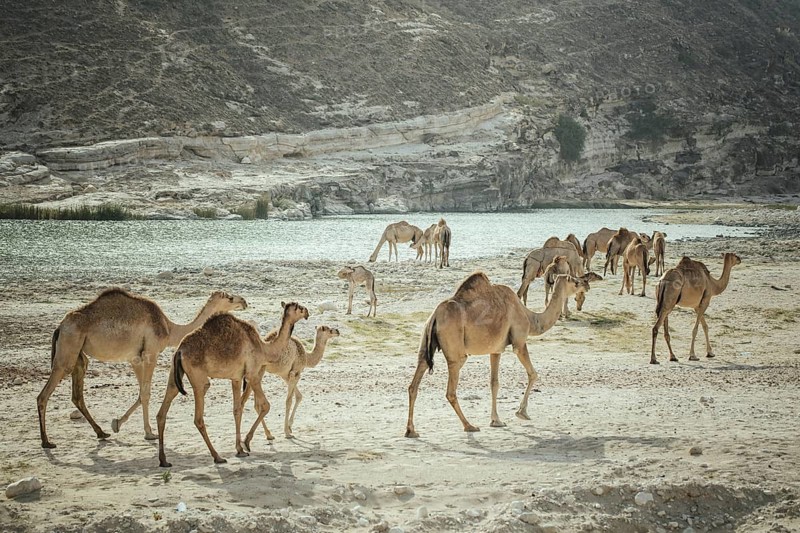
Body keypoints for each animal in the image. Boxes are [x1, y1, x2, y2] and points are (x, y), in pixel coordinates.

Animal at [36, 288, 247, 449]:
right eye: (229, 298)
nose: (244, 301)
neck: (170, 329)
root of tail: (60, 327)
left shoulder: (135, 358)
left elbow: (141, 393)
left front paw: (117, 424)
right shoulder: (151, 353)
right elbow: (146, 393)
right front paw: (148, 433)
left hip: (78, 354)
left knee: (77, 393)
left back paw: (101, 432)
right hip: (68, 349)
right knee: (44, 394)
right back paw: (47, 442)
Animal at [157, 302, 309, 467]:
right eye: (298, 307)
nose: (307, 312)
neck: (264, 348)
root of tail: (180, 350)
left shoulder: (236, 378)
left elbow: (237, 410)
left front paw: (239, 449)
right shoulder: (252, 374)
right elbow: (265, 406)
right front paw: (247, 442)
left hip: (174, 374)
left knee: (163, 410)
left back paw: (164, 460)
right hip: (198, 378)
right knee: (198, 417)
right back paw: (217, 457)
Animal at [405, 272, 590, 437]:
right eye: (575, 281)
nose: (586, 285)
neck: (530, 318)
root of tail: (435, 316)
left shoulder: (495, 349)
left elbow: (494, 383)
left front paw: (496, 420)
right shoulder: (519, 342)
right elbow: (533, 374)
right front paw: (522, 413)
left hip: (425, 342)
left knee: (414, 383)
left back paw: (411, 431)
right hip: (456, 352)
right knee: (451, 390)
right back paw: (469, 426)